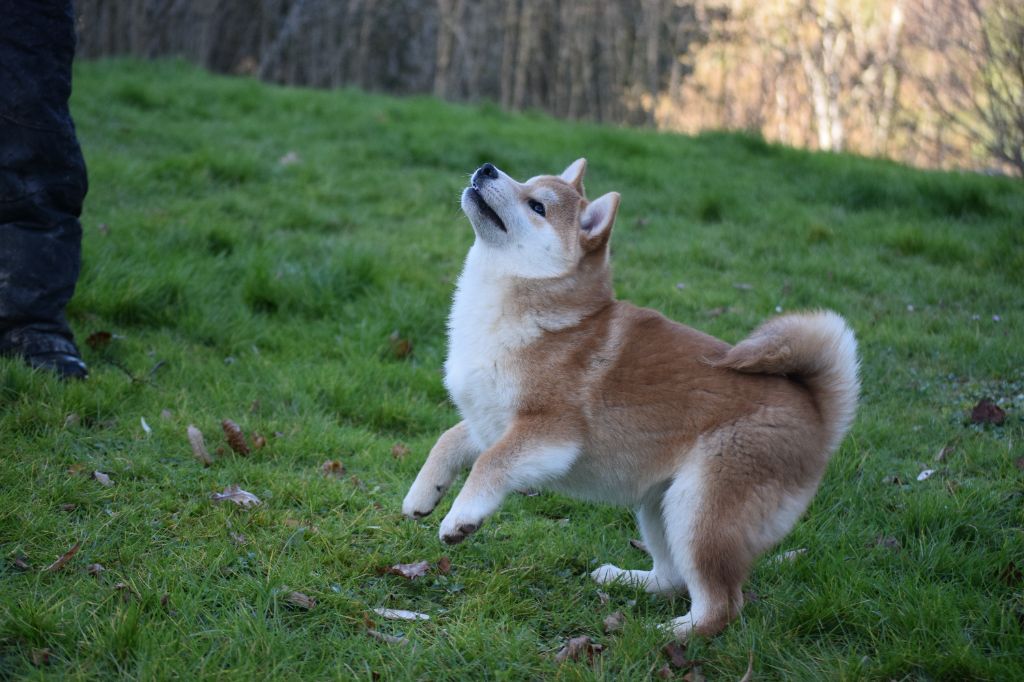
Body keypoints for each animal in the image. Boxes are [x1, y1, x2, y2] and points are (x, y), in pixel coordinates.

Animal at [403, 157, 860, 638]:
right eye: (524, 181)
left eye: (537, 205)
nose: (488, 168)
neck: (543, 317)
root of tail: (818, 411)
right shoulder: (491, 421)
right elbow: (448, 441)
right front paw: (423, 494)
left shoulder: (549, 432)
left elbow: (489, 464)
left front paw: (460, 518)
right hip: (661, 506)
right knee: (673, 578)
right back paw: (624, 578)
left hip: (699, 511)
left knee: (720, 606)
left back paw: (669, 634)